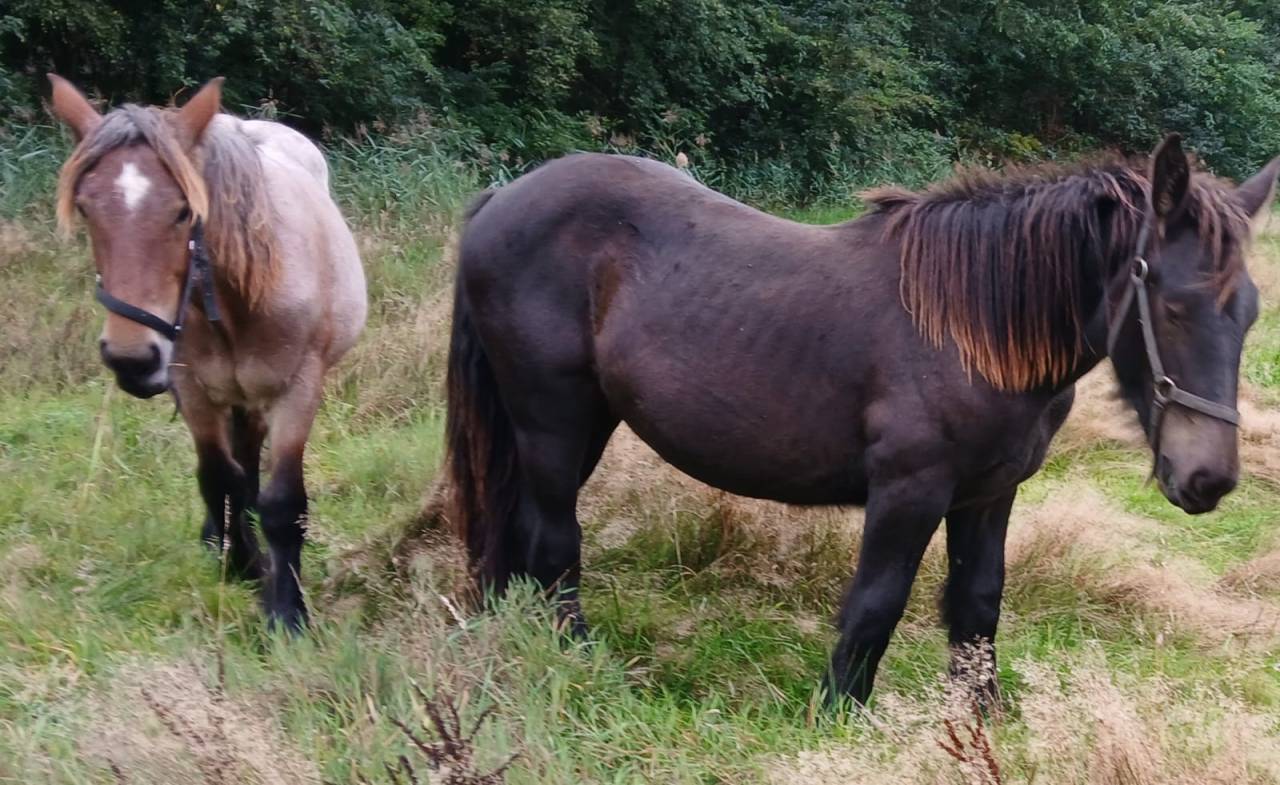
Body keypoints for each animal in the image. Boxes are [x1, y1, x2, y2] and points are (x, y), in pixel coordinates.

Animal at [49, 75, 367, 630]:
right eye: (86, 208)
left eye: (184, 212)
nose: (132, 359)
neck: (241, 297)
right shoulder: (193, 388)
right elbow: (218, 479)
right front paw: (240, 561)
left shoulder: (297, 389)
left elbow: (284, 502)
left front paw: (286, 611)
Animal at [443, 134, 1279, 705]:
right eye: (1173, 305)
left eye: (1248, 314)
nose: (1208, 478)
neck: (971, 327)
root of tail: (501, 200)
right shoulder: (908, 491)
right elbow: (876, 603)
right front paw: (838, 712)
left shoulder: (988, 494)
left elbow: (978, 603)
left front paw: (977, 720)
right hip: (552, 420)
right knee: (554, 539)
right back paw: (578, 661)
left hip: (583, 423)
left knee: (517, 531)